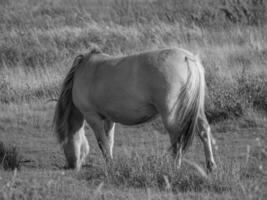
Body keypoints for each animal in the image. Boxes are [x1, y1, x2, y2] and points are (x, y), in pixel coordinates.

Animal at [52, 47, 218, 173]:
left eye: (63, 143)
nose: (71, 166)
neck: (84, 71)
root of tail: (187, 57)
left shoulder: (93, 117)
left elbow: (102, 142)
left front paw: (109, 164)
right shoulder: (109, 119)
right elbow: (109, 141)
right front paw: (111, 163)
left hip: (171, 114)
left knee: (177, 139)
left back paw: (175, 167)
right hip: (196, 111)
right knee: (204, 131)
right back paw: (211, 166)